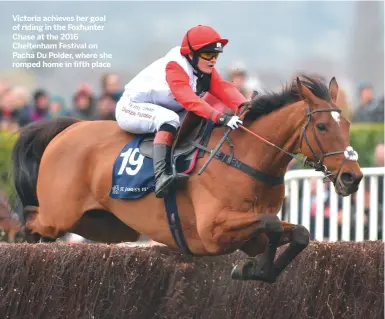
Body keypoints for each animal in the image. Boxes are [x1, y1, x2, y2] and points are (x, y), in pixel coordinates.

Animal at [11, 76, 360, 284]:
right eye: (323, 127)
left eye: (347, 124)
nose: (352, 176)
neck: (247, 158)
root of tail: (69, 126)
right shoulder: (213, 232)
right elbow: (271, 224)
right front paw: (255, 268)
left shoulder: (251, 233)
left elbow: (298, 233)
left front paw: (257, 269)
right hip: (59, 215)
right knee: (30, 219)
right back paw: (23, 247)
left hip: (105, 225)